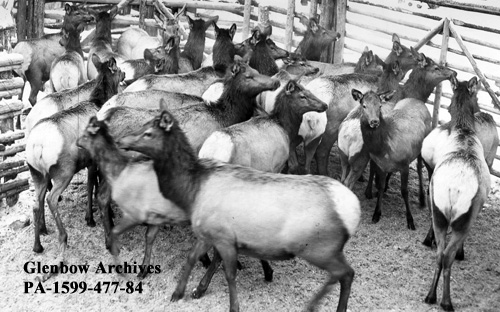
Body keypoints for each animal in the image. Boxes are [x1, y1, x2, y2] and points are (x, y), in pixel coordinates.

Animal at [25, 55, 124, 276]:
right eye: (118, 69)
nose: (124, 74)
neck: (98, 100)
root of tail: (37, 146)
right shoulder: (93, 160)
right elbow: (92, 184)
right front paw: (93, 218)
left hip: (36, 173)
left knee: (36, 203)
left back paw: (38, 245)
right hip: (64, 170)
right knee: (51, 199)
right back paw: (63, 238)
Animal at [117, 105, 360, 312]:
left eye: (148, 133)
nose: (120, 139)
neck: (192, 190)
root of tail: (353, 209)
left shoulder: (223, 236)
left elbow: (229, 274)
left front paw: (231, 304)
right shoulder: (207, 234)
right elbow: (191, 258)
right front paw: (179, 292)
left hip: (320, 247)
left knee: (346, 273)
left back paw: (320, 306)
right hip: (326, 249)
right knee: (344, 274)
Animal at [424, 76, 490, 312]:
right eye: (477, 96)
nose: (479, 108)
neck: (464, 131)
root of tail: (454, 189)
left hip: (438, 210)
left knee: (438, 253)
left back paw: (430, 295)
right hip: (464, 219)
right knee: (447, 255)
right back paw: (446, 300)